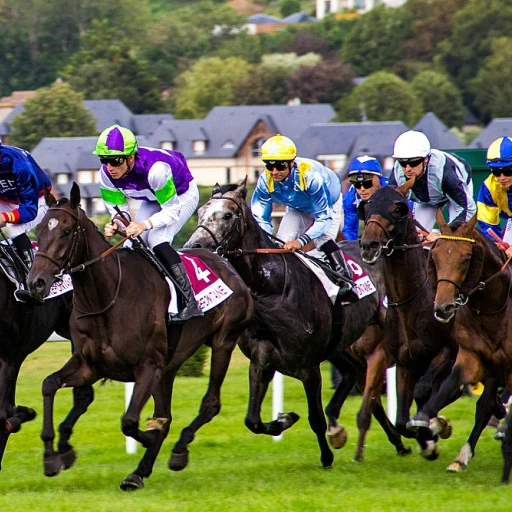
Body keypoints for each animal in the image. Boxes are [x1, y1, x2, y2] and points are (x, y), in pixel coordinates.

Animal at [26, 182, 254, 490]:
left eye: (65, 231)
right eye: (40, 230)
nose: (35, 283)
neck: (108, 295)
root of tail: (226, 263)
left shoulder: (147, 366)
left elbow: (131, 421)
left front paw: (149, 438)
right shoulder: (90, 365)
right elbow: (49, 384)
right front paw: (53, 456)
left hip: (223, 342)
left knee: (210, 404)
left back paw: (176, 452)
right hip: (169, 366)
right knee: (166, 413)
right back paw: (139, 472)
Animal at [184, 178, 408, 466]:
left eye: (227, 215)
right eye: (200, 212)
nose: (194, 247)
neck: (272, 290)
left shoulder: (308, 366)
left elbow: (315, 418)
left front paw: (326, 456)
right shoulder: (261, 362)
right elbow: (252, 421)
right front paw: (284, 420)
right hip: (340, 344)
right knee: (356, 374)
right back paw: (394, 441)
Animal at [420, 209, 512, 480]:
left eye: (466, 258)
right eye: (435, 255)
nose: (443, 308)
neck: (494, 309)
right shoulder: (474, 357)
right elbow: (446, 390)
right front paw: (429, 426)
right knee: (484, 406)